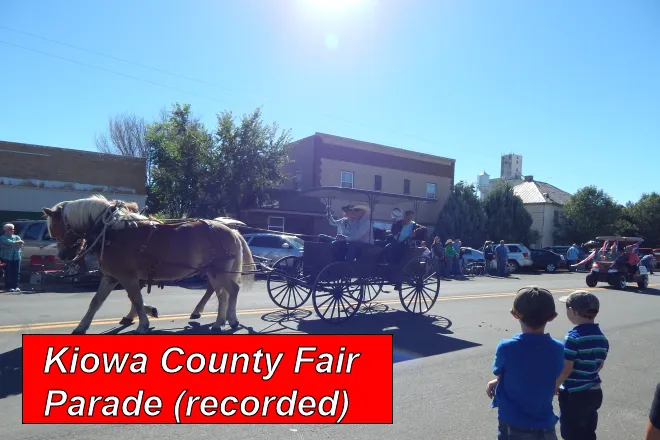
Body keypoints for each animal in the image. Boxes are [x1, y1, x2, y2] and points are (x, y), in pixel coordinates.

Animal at [41, 195, 253, 334]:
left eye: (55, 228)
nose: (63, 255)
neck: (111, 232)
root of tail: (232, 231)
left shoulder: (127, 276)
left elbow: (136, 298)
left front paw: (143, 323)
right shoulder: (111, 277)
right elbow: (96, 301)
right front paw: (81, 326)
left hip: (218, 270)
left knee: (230, 290)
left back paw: (228, 320)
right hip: (213, 271)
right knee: (221, 293)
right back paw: (220, 320)